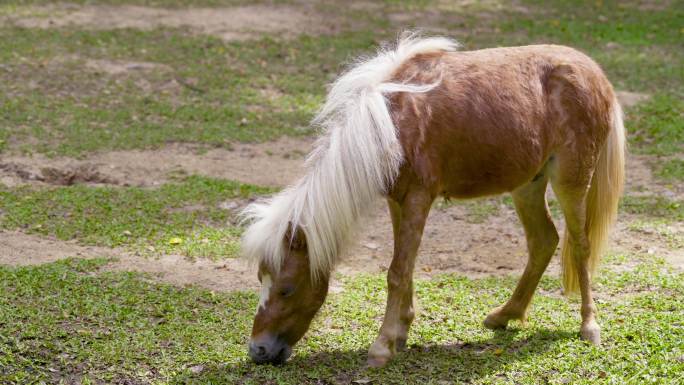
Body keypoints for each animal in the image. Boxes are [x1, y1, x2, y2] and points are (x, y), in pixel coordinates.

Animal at [240, 33, 624, 366]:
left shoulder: (418, 199)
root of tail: (597, 76)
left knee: (580, 245)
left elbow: (397, 272)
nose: (258, 350)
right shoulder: (397, 200)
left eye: (287, 289)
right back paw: (505, 315)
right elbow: (404, 268)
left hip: (571, 179)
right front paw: (400, 334)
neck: (391, 124)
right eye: (260, 279)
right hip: (528, 184)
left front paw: (382, 346)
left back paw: (589, 326)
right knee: (544, 240)